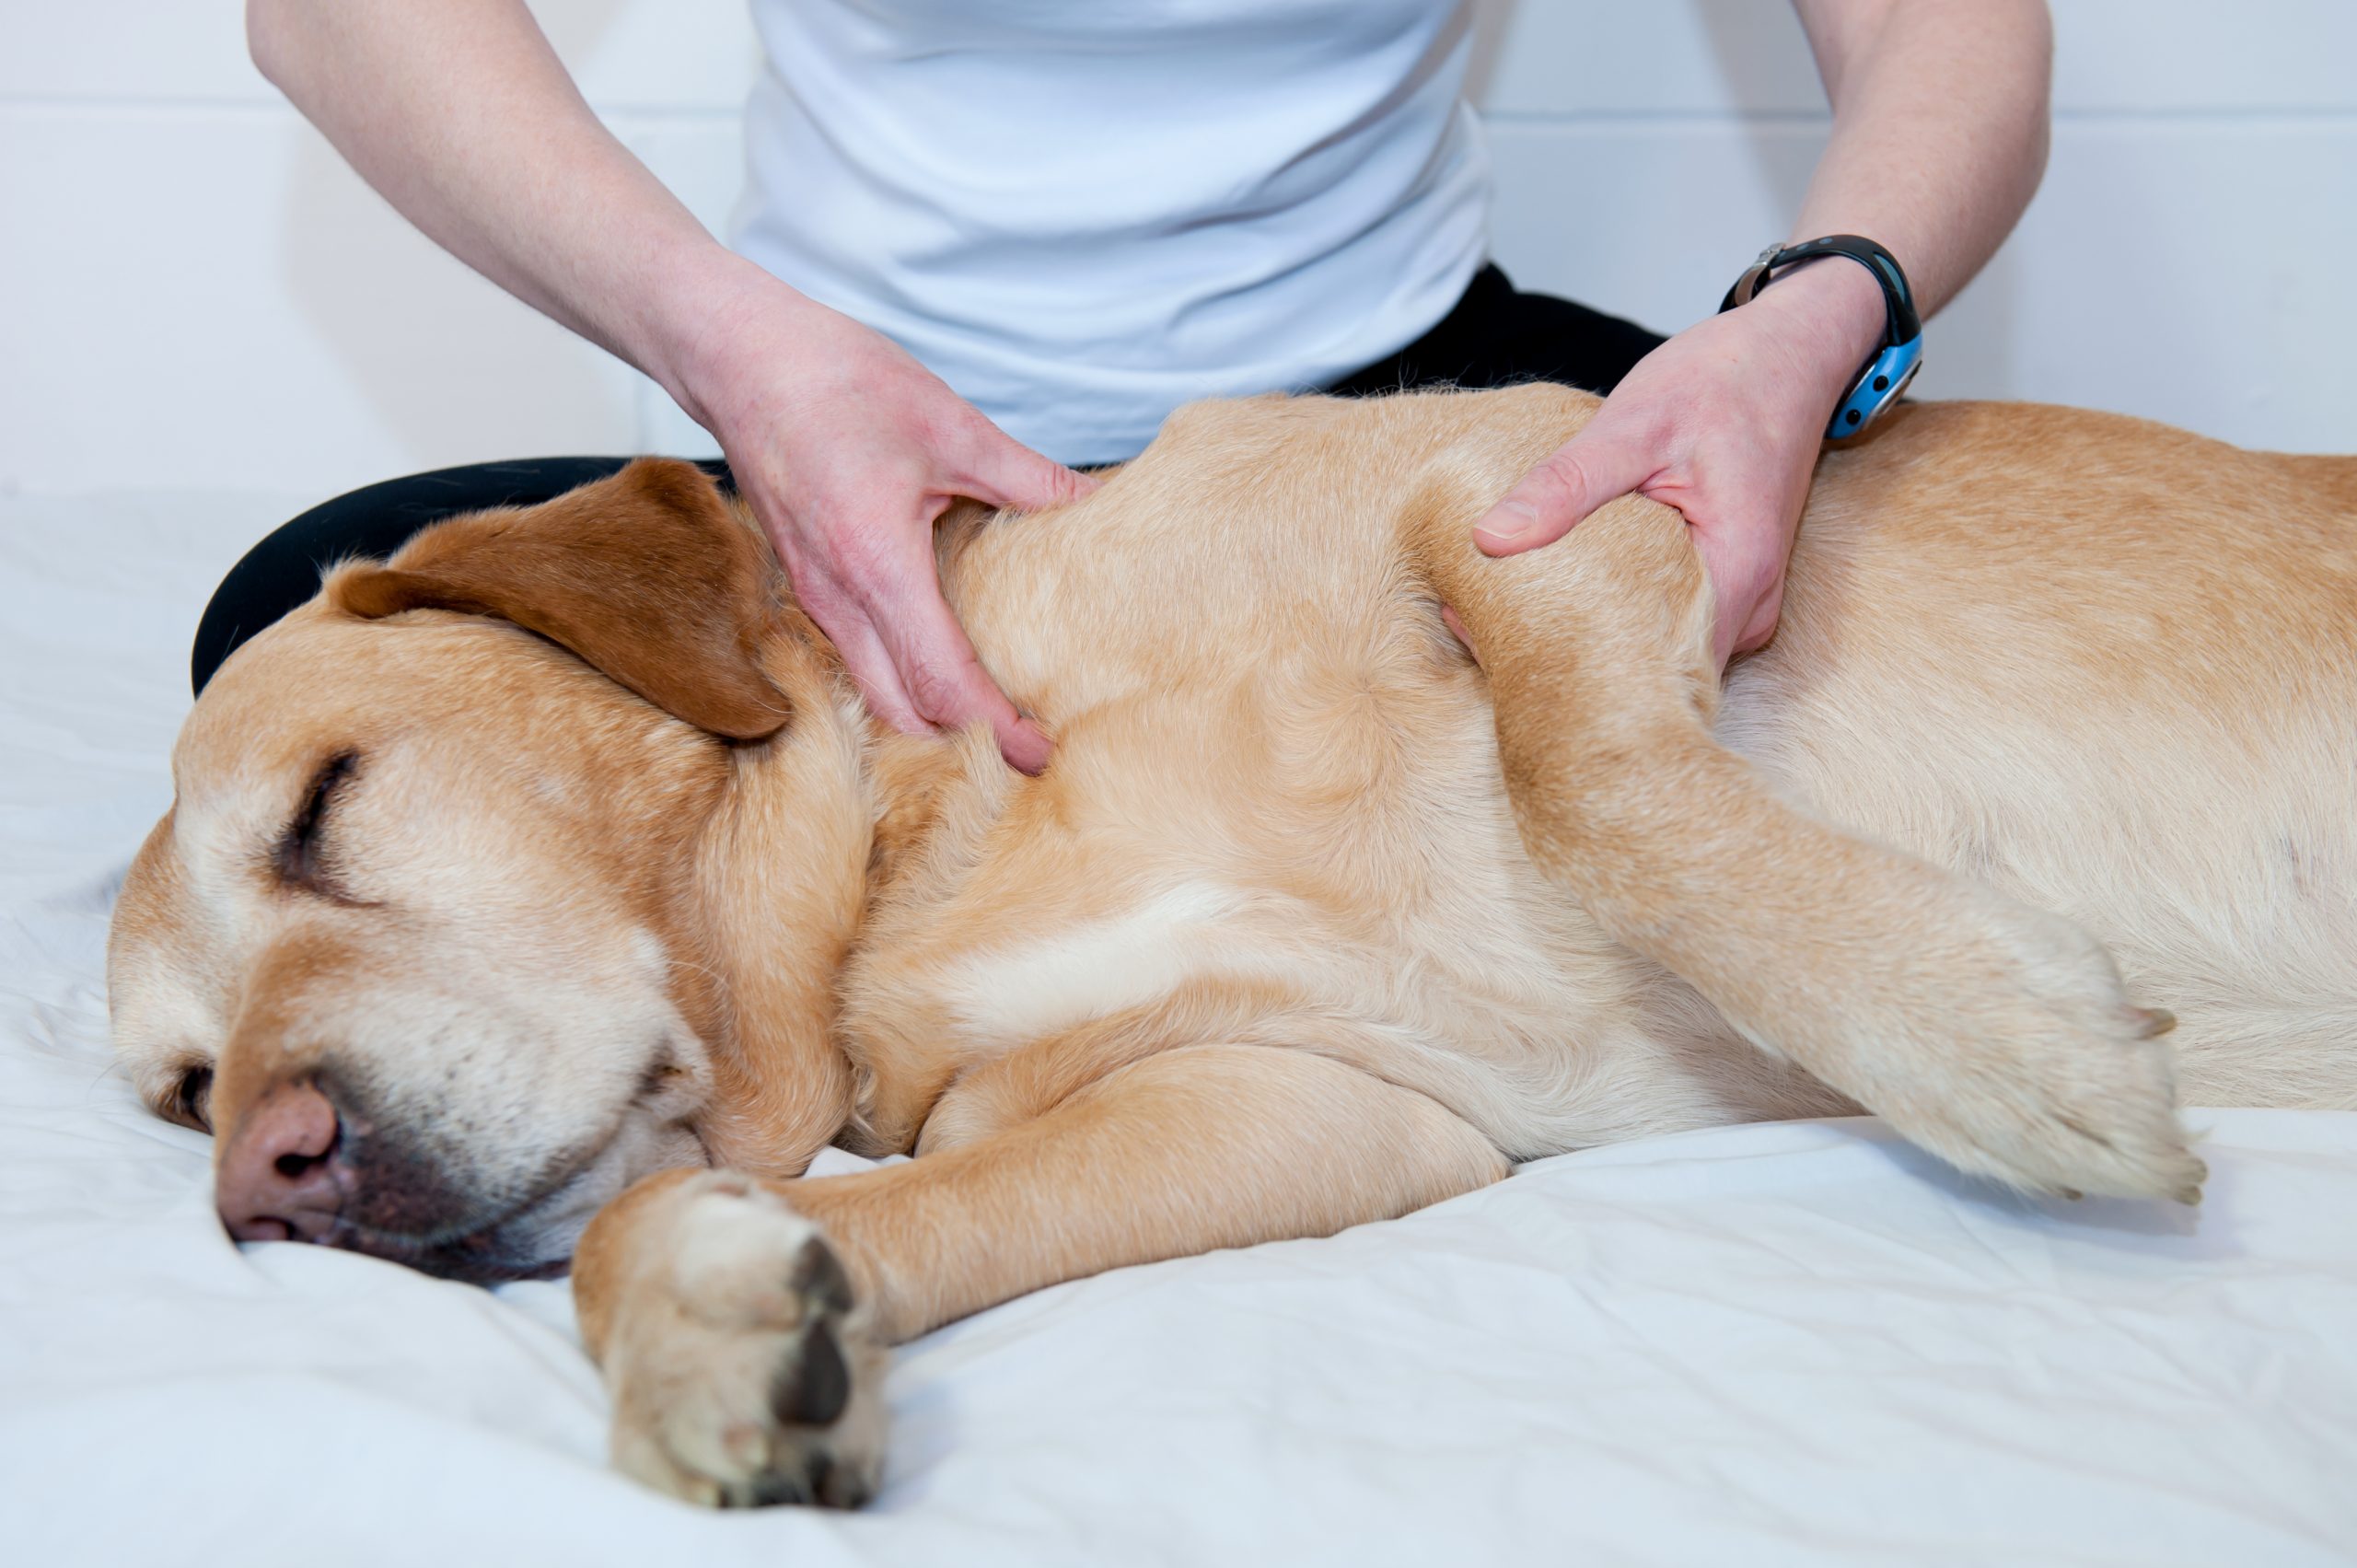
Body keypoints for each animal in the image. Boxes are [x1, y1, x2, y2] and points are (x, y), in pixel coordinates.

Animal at [110, 381, 2357, 1508]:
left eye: (323, 802)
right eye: (179, 1092)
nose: (266, 1182)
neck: (933, 846)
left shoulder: (1530, 475)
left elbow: (1595, 778)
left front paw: (1991, 1040)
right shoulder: (1315, 1107)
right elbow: (737, 1221)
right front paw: (714, 1329)